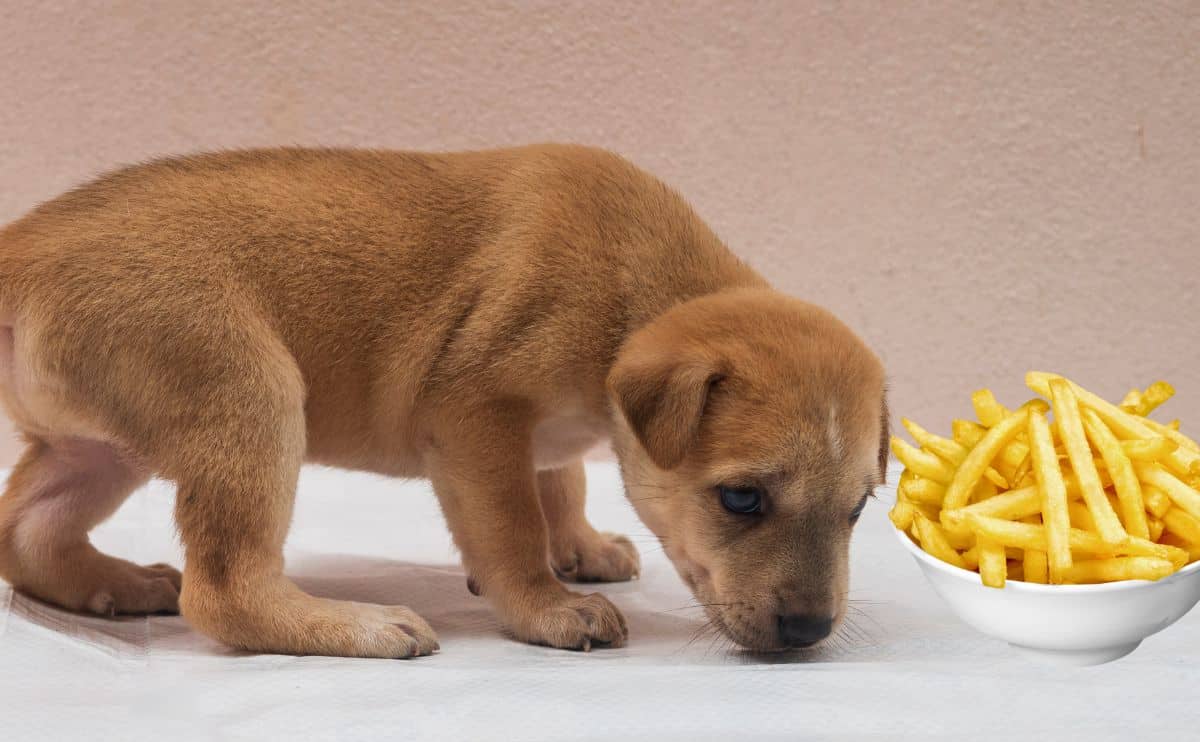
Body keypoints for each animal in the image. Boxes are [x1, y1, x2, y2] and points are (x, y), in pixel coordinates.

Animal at [0, 144, 883, 653]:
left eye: (859, 510)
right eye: (741, 498)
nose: (811, 632)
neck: (635, 289)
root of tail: (22, 248)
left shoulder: (539, 439)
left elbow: (563, 483)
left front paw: (582, 548)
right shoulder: (477, 419)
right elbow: (513, 526)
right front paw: (546, 606)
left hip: (96, 448)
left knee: (28, 532)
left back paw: (116, 585)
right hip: (249, 397)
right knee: (222, 591)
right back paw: (350, 626)